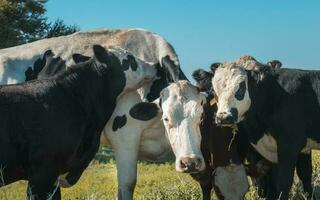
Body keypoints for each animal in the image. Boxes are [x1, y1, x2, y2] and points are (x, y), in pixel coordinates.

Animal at [210, 55, 320, 200]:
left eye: (241, 88)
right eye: (214, 91)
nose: (223, 117)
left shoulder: (289, 145)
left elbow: (284, 182)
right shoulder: (301, 148)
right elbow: (304, 175)